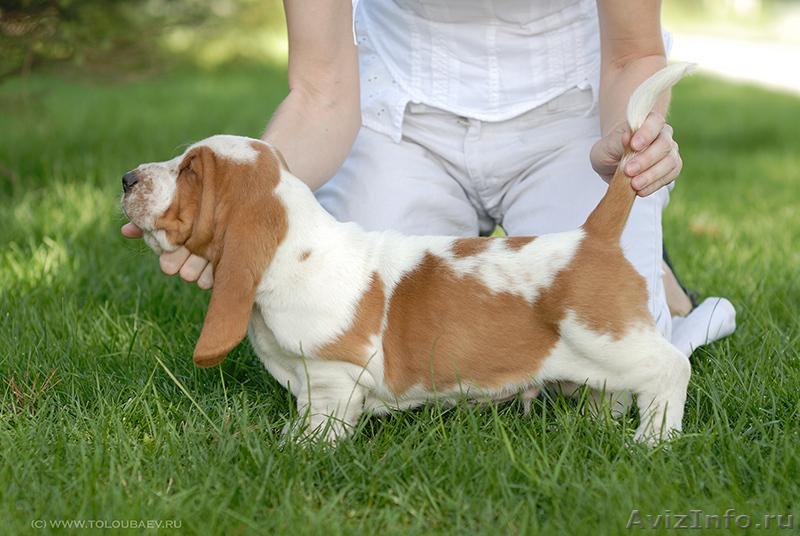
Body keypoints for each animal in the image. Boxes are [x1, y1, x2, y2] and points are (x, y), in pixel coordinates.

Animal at [122, 61, 696, 444]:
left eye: (191, 170)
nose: (127, 178)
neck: (292, 257)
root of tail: (591, 236)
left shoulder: (334, 377)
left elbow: (319, 426)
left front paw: (298, 451)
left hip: (605, 338)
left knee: (670, 369)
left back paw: (652, 441)